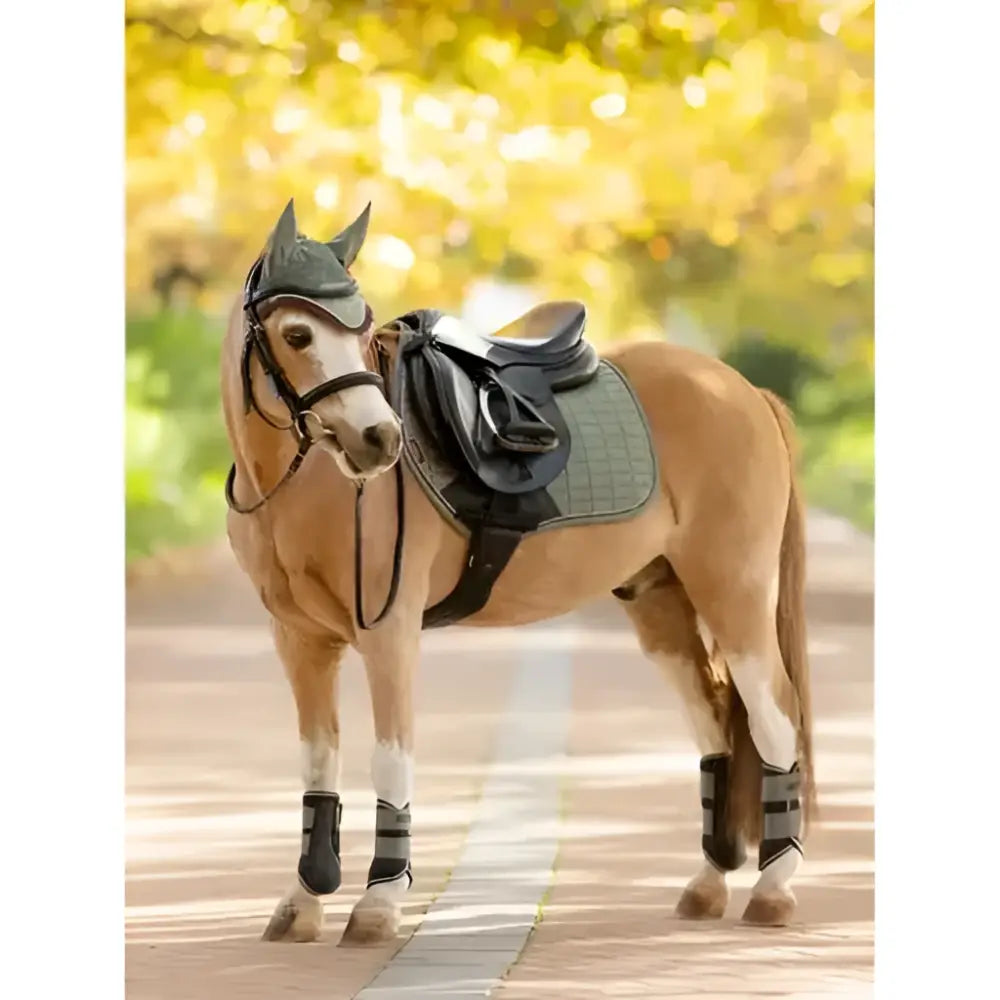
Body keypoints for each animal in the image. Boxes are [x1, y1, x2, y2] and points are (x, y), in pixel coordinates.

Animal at [220, 200, 816, 945]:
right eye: (297, 332)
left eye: (360, 326)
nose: (381, 441)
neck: (304, 486)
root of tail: (742, 390)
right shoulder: (301, 643)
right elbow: (317, 762)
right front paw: (302, 903)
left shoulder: (389, 635)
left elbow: (390, 756)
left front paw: (378, 904)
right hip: (662, 606)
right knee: (713, 725)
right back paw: (707, 886)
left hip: (734, 592)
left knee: (775, 720)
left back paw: (774, 890)